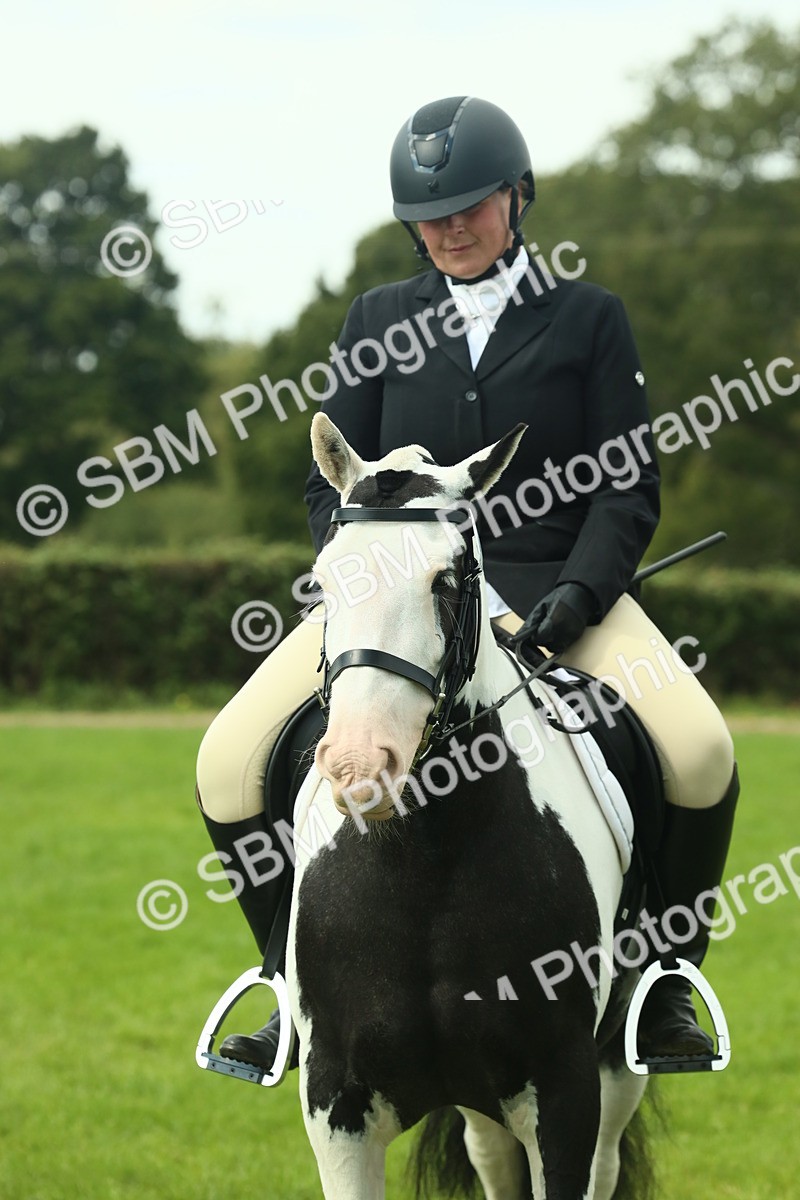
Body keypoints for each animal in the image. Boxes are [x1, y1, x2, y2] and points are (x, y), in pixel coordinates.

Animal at [285, 412, 652, 1200]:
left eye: (448, 580)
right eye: (323, 585)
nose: (361, 765)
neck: (424, 861)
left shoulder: (564, 1092)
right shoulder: (336, 1103)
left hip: (618, 1059)